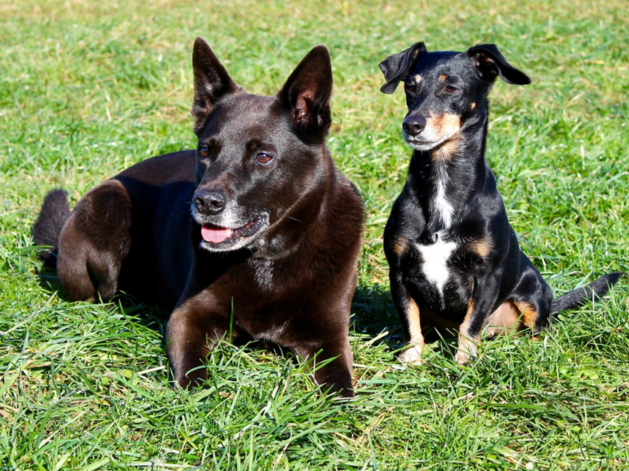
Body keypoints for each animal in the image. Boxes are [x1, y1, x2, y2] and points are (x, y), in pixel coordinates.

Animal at [33, 37, 364, 398]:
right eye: (205, 151)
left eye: (263, 157)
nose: (204, 202)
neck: (268, 256)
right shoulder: (188, 316)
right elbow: (193, 378)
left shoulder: (329, 336)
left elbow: (342, 390)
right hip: (109, 202)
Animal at [378, 42, 624, 366]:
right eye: (410, 86)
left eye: (451, 88)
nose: (411, 125)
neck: (443, 185)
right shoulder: (399, 271)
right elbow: (410, 322)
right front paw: (411, 359)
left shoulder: (487, 275)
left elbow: (470, 324)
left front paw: (464, 363)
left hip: (533, 292)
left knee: (539, 328)